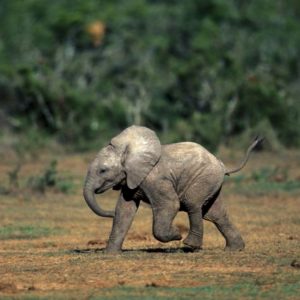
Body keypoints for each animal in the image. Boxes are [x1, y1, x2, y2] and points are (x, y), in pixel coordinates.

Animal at [82, 125, 262, 253]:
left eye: (103, 170)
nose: (109, 213)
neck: (129, 151)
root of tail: (221, 164)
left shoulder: (155, 179)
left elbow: (170, 204)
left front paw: (176, 234)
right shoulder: (132, 179)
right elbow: (124, 210)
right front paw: (110, 253)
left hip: (203, 178)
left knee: (193, 204)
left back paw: (189, 245)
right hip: (212, 181)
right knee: (216, 214)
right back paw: (234, 249)